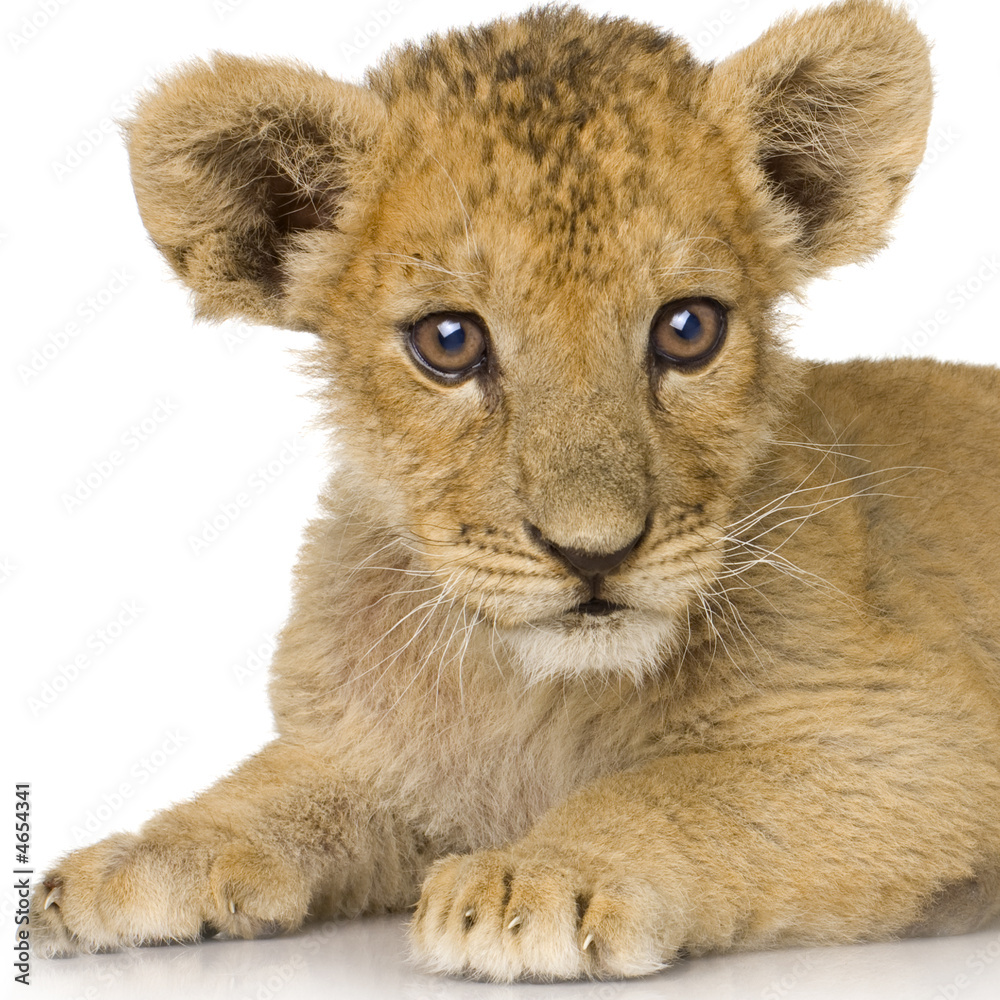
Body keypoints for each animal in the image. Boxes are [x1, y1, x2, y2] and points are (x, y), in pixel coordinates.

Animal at [30, 0, 1000, 982]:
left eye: (689, 328)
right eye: (450, 341)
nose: (594, 553)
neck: (534, 693)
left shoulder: (917, 737)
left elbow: (680, 784)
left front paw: (541, 874)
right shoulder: (371, 754)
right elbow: (282, 783)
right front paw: (139, 859)